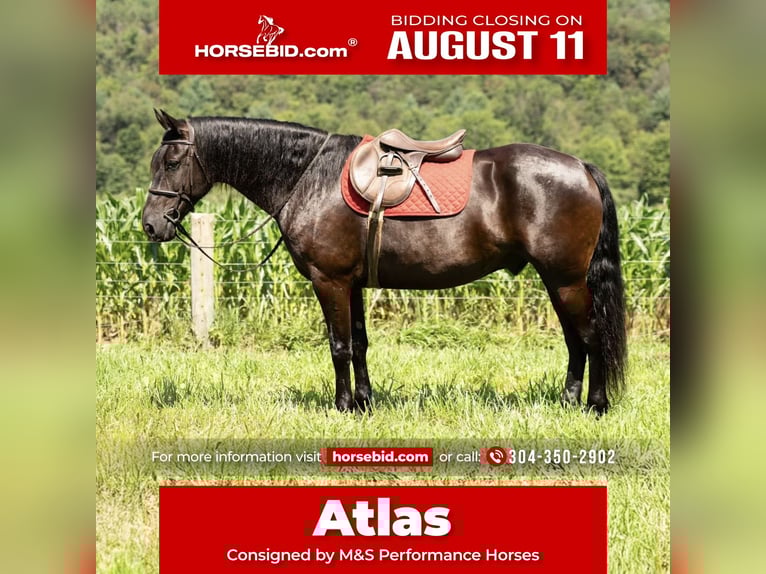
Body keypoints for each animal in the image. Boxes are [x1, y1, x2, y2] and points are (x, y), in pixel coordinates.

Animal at [142, 109, 627, 415]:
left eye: (172, 161)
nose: (150, 225)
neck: (308, 177)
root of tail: (580, 167)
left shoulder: (330, 281)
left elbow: (338, 345)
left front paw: (341, 407)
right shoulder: (351, 283)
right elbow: (358, 344)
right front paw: (364, 403)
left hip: (565, 279)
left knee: (590, 336)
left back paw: (595, 405)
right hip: (558, 281)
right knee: (575, 341)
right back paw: (569, 400)